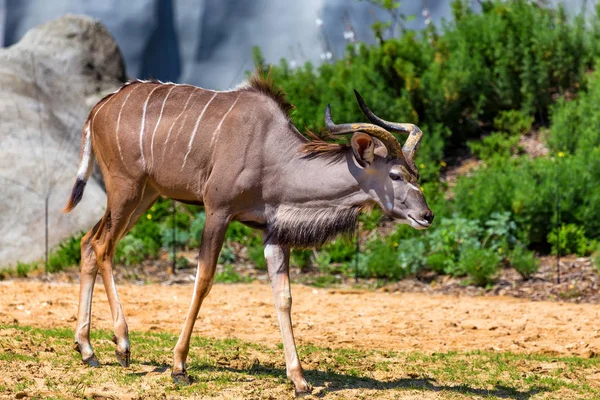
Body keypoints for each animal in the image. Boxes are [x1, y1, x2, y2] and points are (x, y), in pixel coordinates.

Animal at [64, 74, 432, 394]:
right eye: (396, 175)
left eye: (415, 173)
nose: (426, 215)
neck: (273, 152)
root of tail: (100, 107)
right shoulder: (218, 211)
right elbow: (203, 280)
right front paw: (179, 367)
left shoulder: (274, 231)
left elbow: (284, 296)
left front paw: (299, 381)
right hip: (126, 189)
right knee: (104, 246)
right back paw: (122, 345)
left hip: (145, 195)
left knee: (88, 242)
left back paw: (87, 350)